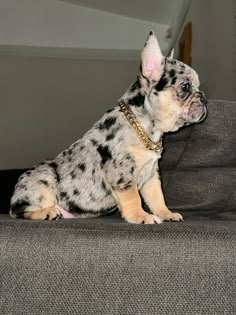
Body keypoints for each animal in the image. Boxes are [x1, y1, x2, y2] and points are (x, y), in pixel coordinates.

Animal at [9, 31, 206, 225]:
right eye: (185, 86)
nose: (203, 97)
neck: (145, 128)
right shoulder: (123, 175)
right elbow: (134, 198)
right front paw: (140, 216)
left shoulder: (151, 177)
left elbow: (157, 198)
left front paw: (166, 213)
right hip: (41, 182)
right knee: (19, 212)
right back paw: (46, 212)